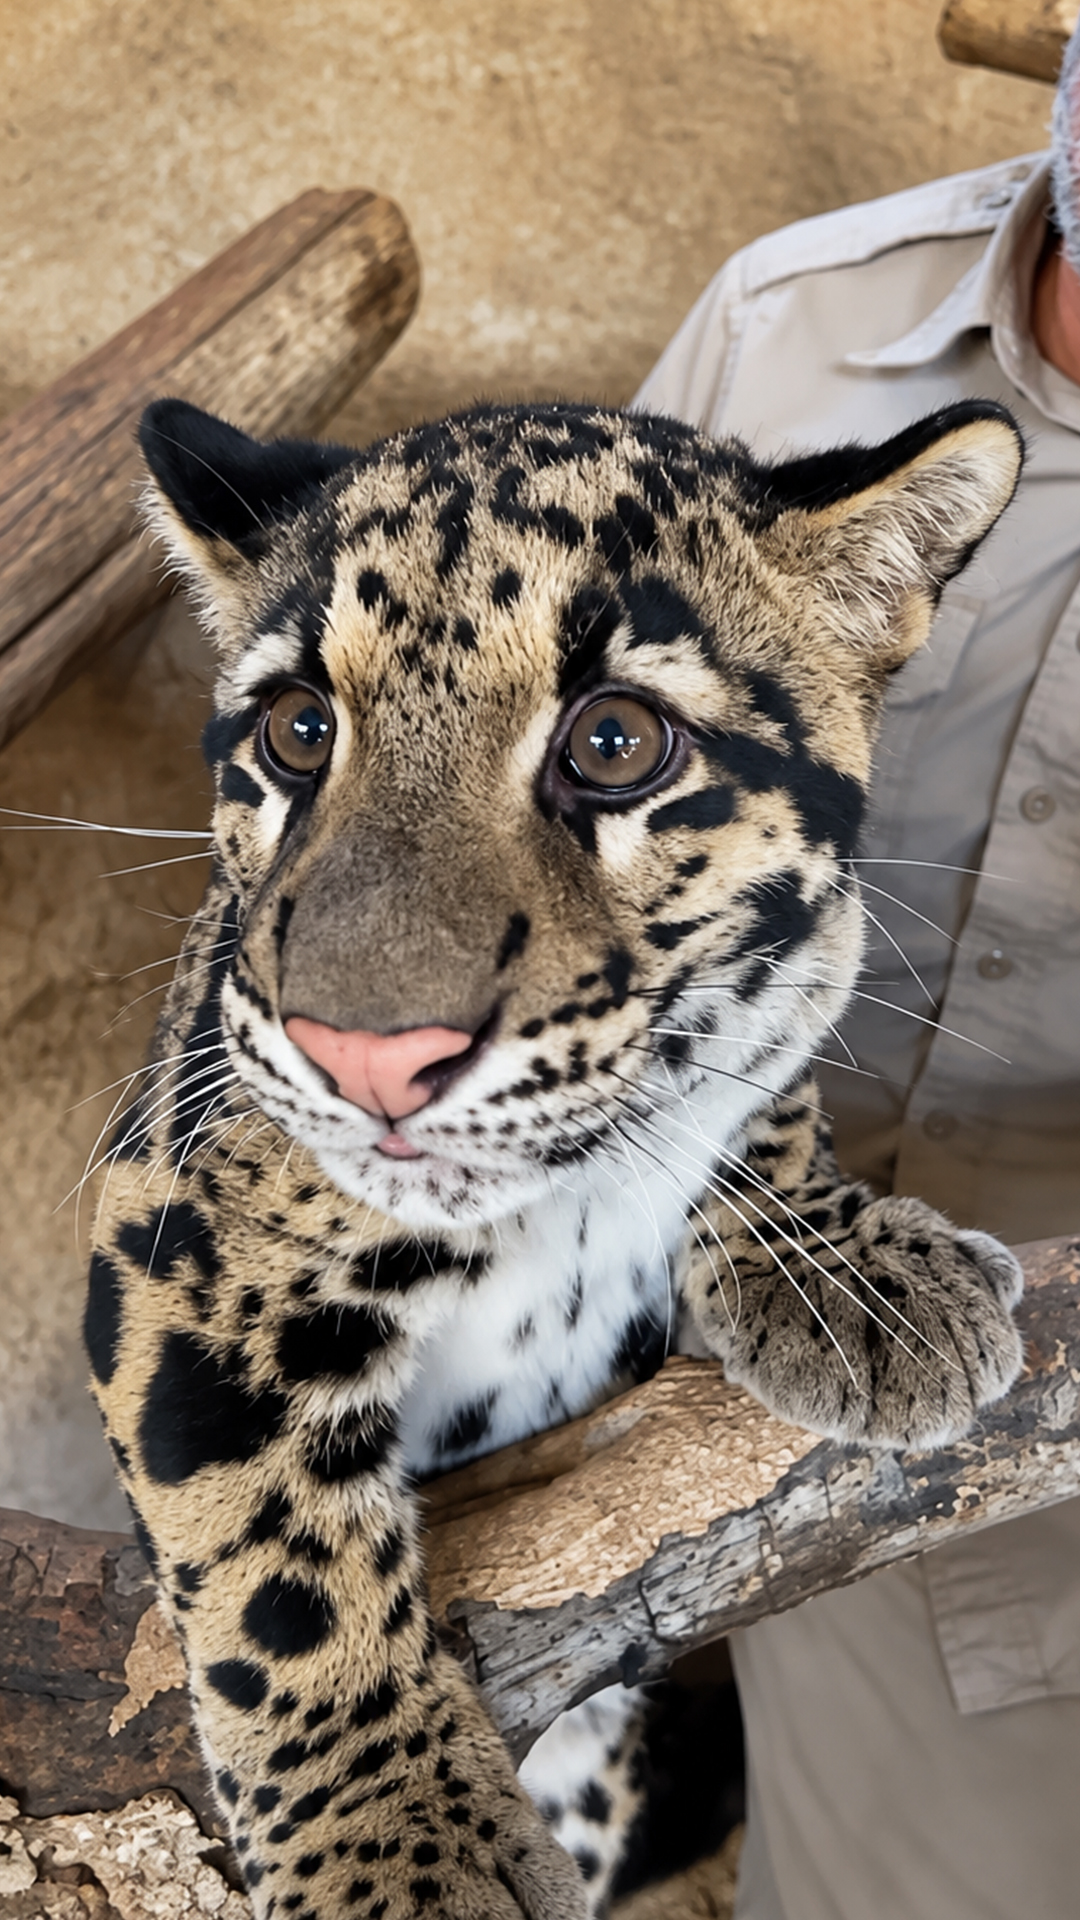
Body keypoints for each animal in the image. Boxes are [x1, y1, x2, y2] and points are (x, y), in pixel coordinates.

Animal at [85, 390, 1027, 1920]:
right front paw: (403, 1849)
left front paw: (845, 1274)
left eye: (615, 744)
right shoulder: (171, 1205)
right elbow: (271, 1558)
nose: (364, 1056)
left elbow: (761, 1084)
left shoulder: (799, 982)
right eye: (299, 730)